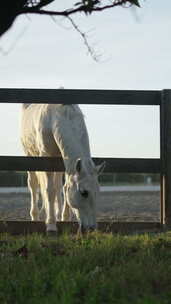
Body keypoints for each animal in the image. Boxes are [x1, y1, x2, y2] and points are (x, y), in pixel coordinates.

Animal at [20, 103, 105, 234]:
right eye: (84, 192)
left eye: (98, 192)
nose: (91, 228)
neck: (54, 117)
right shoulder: (47, 158)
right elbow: (49, 190)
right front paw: (51, 225)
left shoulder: (64, 161)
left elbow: (64, 188)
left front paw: (65, 219)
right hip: (29, 154)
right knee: (33, 185)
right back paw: (35, 217)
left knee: (58, 186)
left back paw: (59, 214)